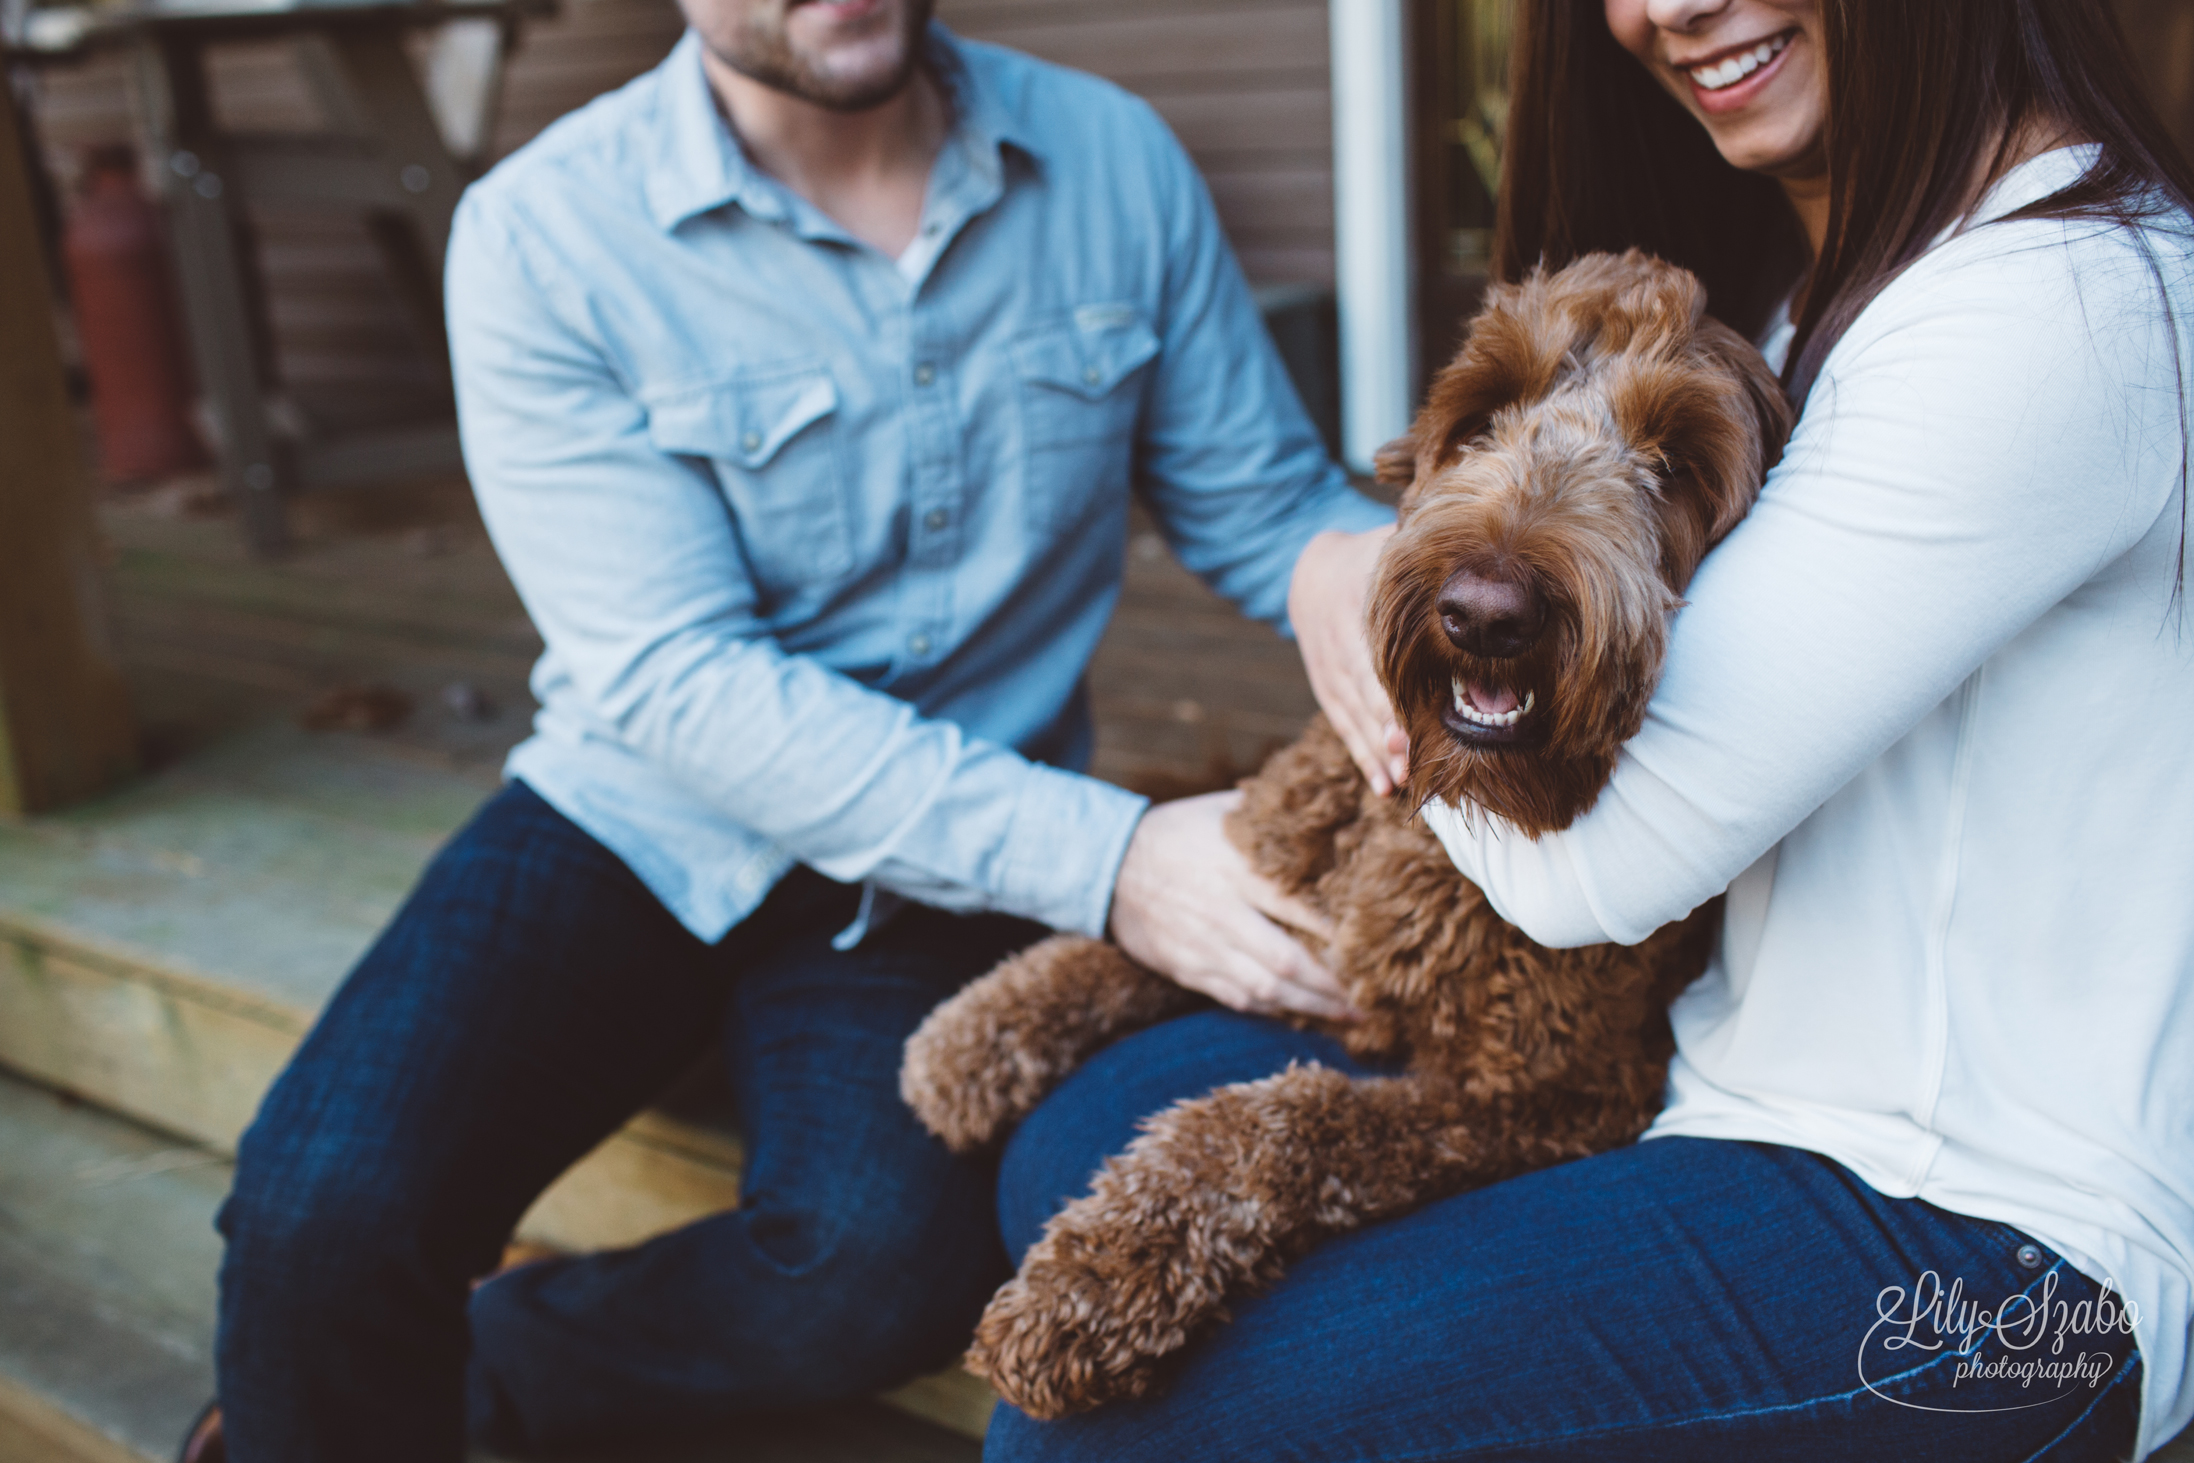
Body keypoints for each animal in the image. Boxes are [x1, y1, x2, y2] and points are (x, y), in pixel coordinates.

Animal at [899, 248, 1790, 1421]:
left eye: (1674, 462)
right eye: (1484, 416)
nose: (1487, 609)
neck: (1436, 824)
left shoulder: (1554, 1095)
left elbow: (1280, 1120)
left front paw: (1091, 1280)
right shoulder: (1271, 875)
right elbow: (1125, 936)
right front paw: (975, 1033)